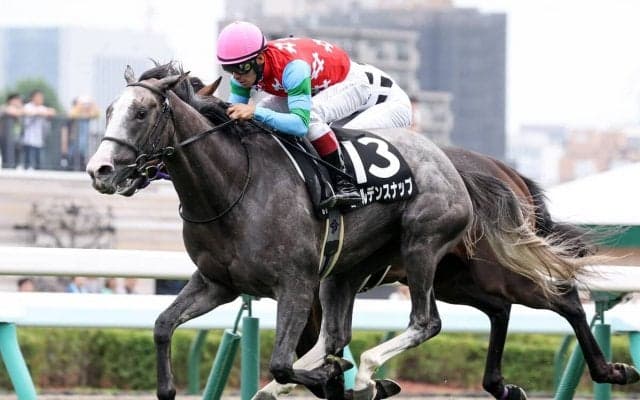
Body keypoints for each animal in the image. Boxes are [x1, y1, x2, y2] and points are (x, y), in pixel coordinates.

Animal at [86, 64, 602, 400]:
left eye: (141, 113)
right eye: (110, 110)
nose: (100, 170)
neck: (234, 185)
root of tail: (459, 167)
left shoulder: (295, 284)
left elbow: (285, 363)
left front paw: (345, 378)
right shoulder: (217, 283)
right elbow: (162, 326)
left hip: (432, 250)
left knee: (533, 302)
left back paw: (607, 368)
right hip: (440, 277)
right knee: (497, 308)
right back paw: (502, 385)